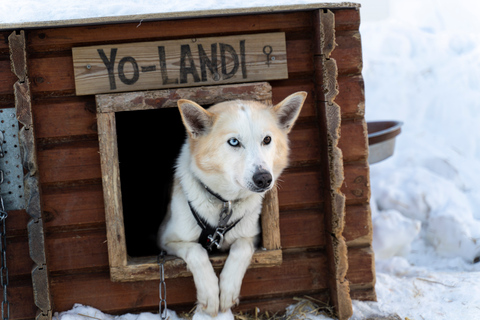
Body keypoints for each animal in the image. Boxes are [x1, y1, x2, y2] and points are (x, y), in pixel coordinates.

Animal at [158, 91, 308, 316]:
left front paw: (228, 291)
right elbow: (196, 251)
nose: (264, 178)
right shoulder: (166, 240)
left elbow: (240, 248)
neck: (225, 202)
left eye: (267, 139)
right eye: (234, 142)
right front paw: (210, 295)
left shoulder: (252, 236)